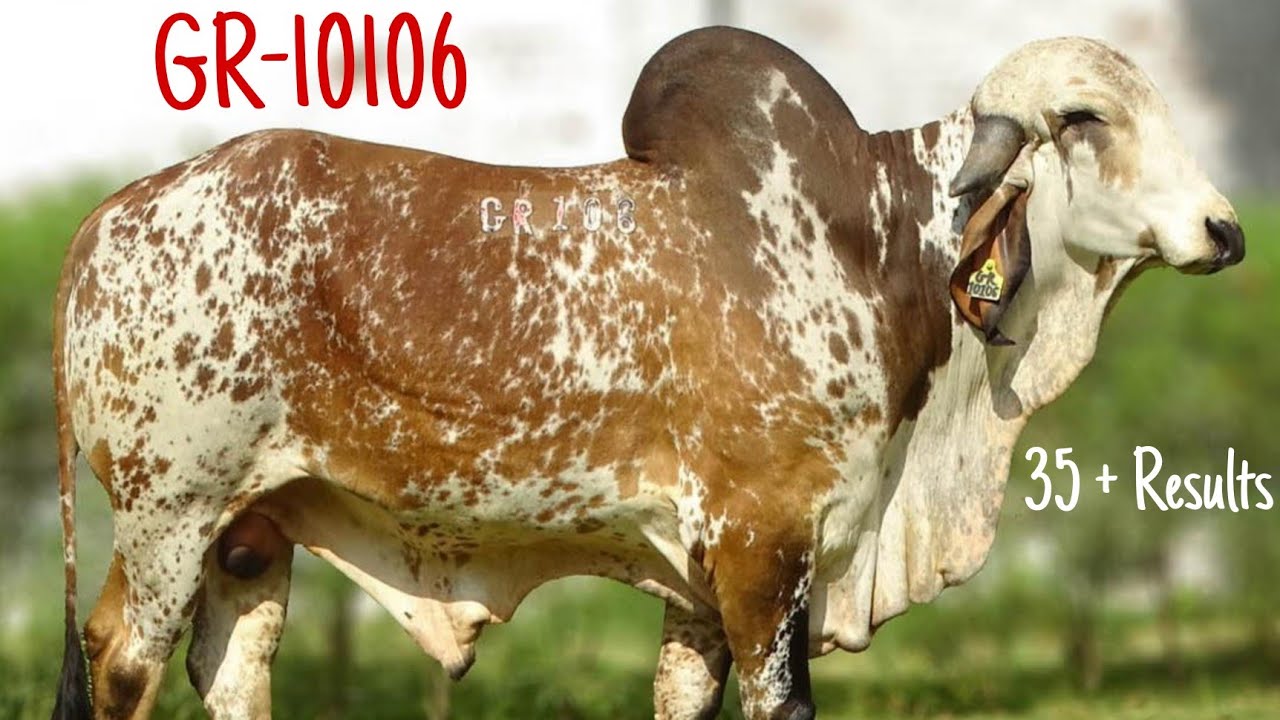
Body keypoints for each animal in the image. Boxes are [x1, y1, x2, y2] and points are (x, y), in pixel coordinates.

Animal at [52, 26, 1242, 720]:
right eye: (1086, 120)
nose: (1224, 230)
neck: (871, 241)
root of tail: (109, 216)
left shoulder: (703, 580)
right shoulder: (766, 550)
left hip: (251, 533)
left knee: (231, 671)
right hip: (169, 515)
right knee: (121, 660)